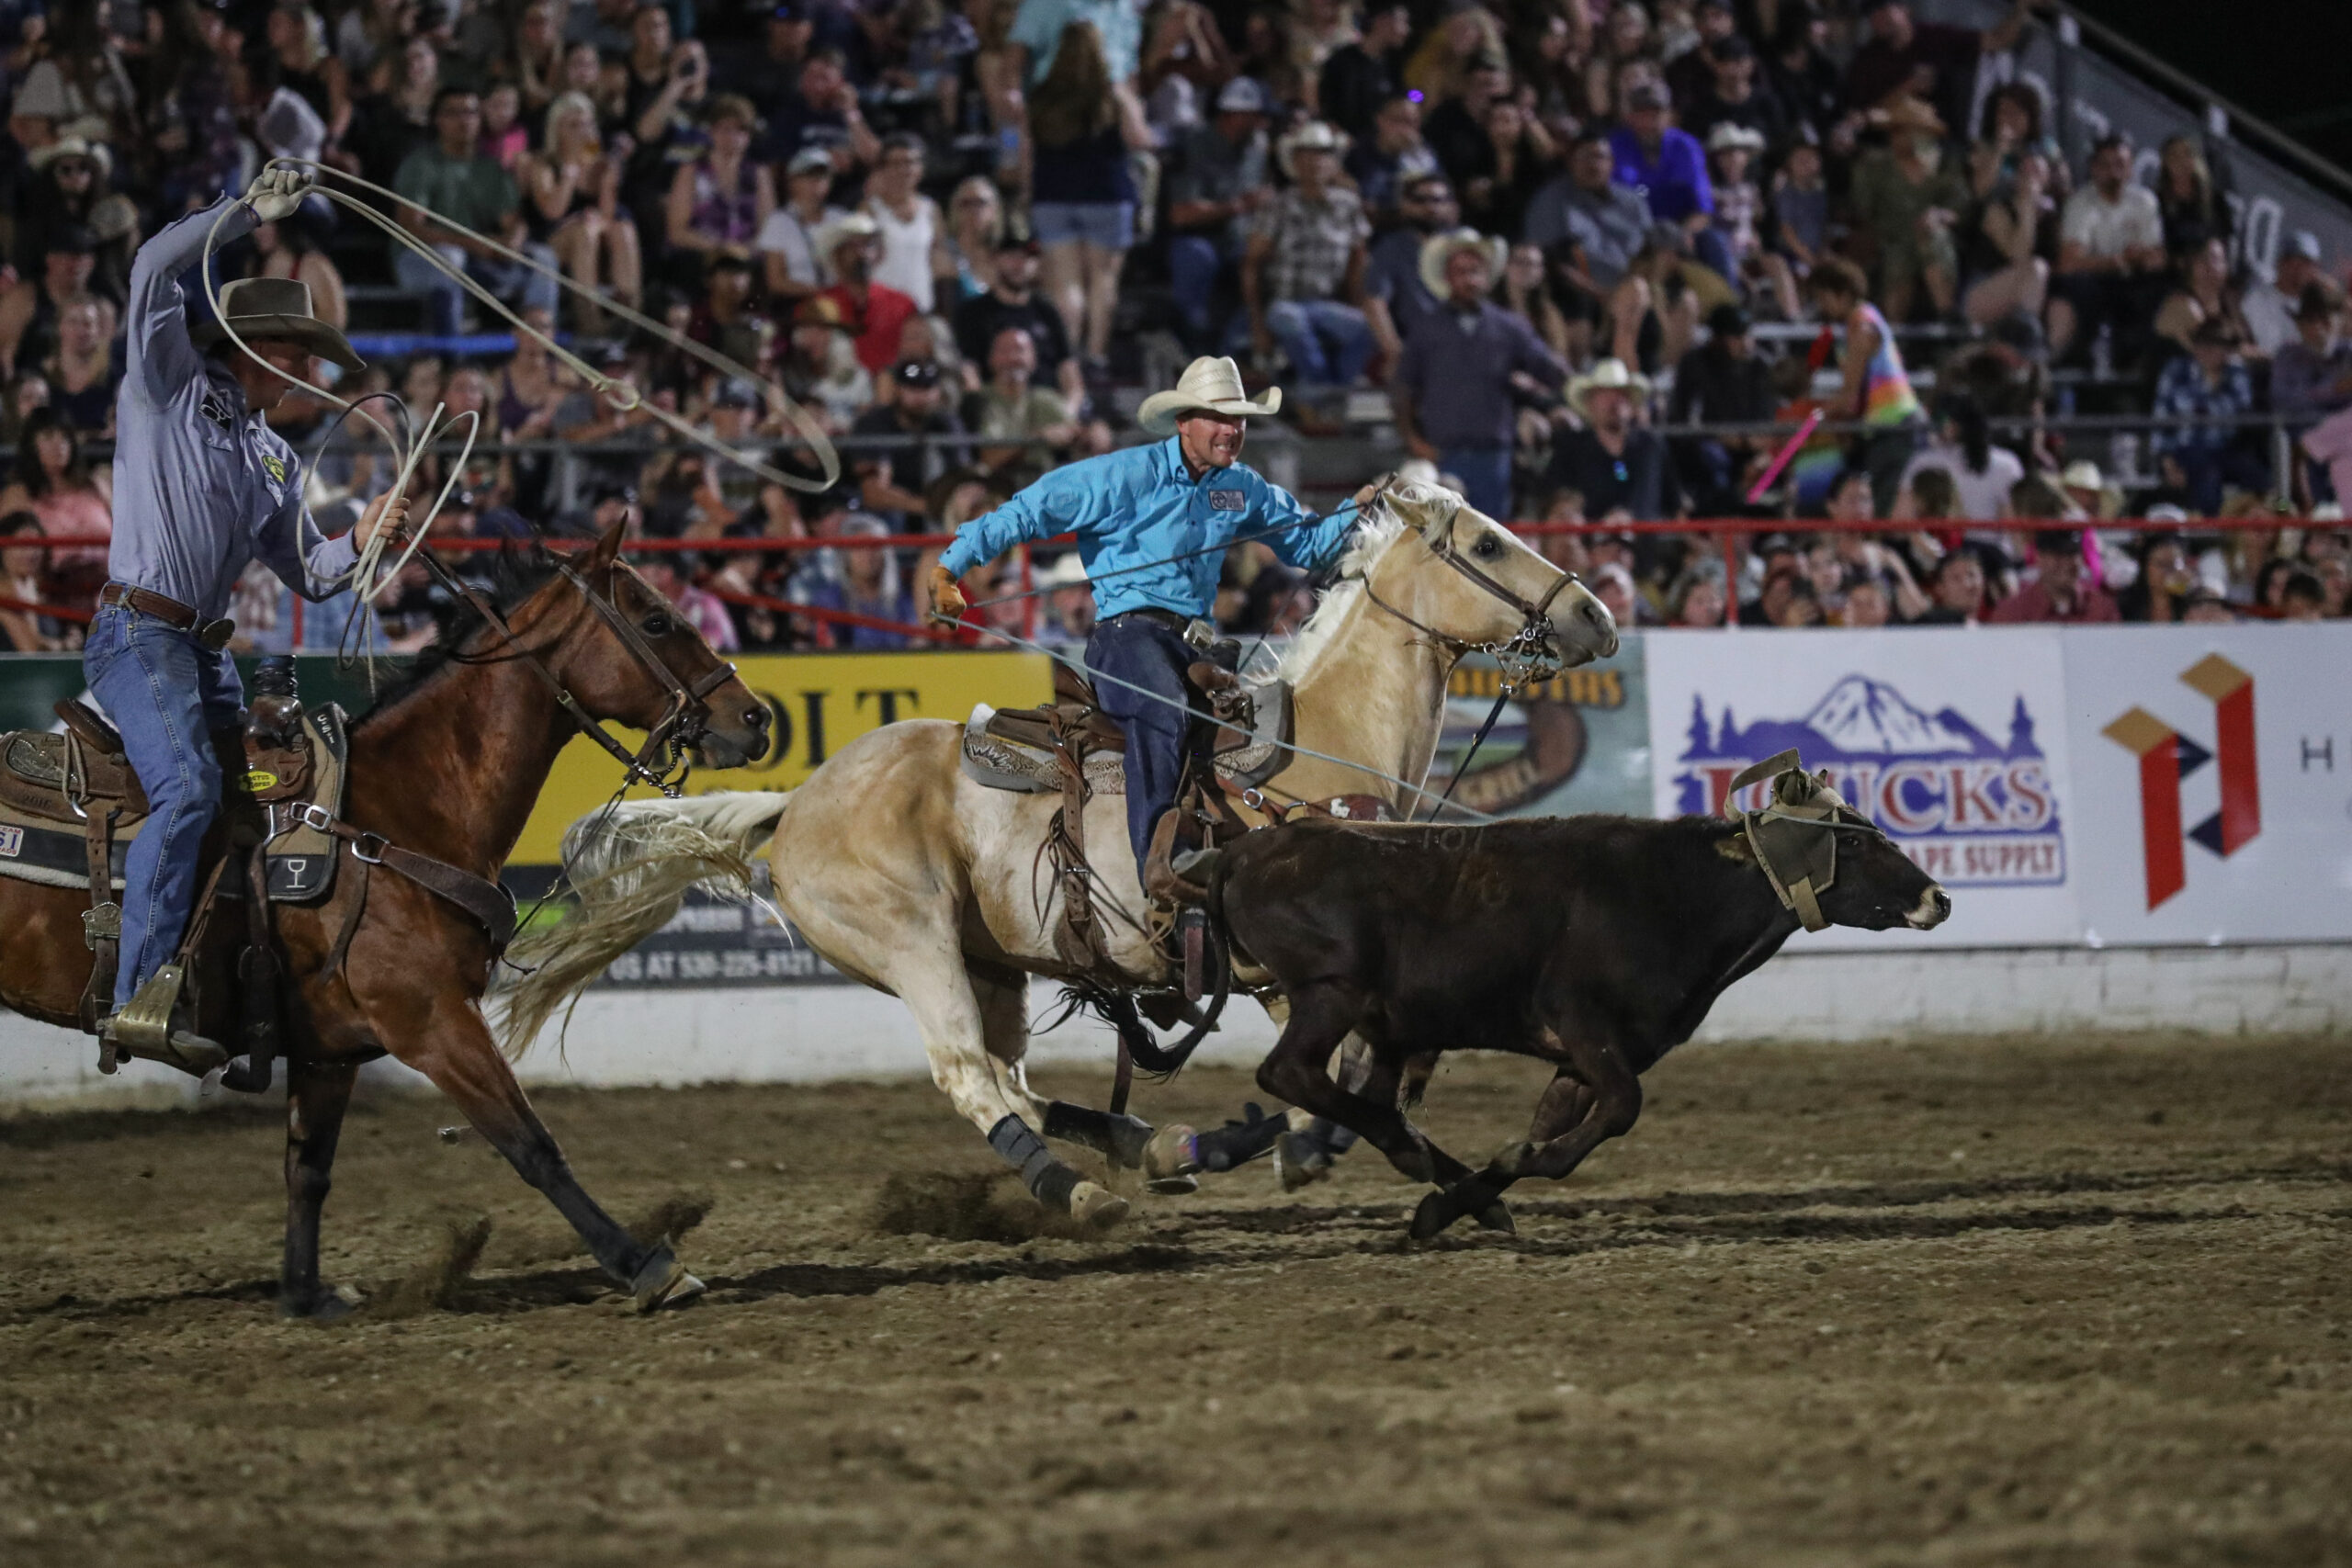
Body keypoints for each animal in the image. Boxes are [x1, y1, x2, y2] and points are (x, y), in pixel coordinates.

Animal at [0, 522, 771, 1316]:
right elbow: (531, 1143)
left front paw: (305, 1295)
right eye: (656, 619)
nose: (756, 716)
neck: (400, 808)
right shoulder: (430, 1017)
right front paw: (647, 1262)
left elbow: (308, 1170)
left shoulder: (328, 1050)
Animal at [496, 481, 1618, 1222]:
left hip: (989, 960)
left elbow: (1408, 1060)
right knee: (969, 1077)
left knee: (1015, 1081)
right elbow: (1369, 1066)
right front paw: (1326, 1152)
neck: (1306, 759)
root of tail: (795, 805)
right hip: (916, 950)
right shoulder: (1293, 978)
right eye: (1487, 543)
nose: (1595, 614)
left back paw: (1174, 1144)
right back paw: (1082, 1188)